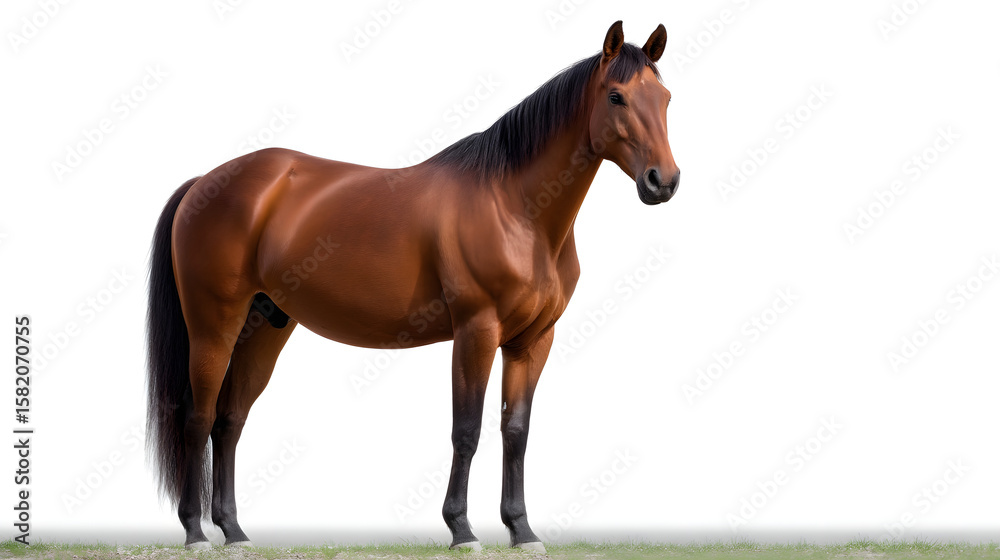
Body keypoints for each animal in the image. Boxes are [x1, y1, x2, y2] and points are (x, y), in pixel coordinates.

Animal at [146, 20, 678, 552]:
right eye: (616, 96)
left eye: (666, 97)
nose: (664, 182)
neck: (514, 206)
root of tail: (206, 182)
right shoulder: (476, 332)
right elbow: (467, 430)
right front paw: (461, 530)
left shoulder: (532, 341)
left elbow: (515, 431)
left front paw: (522, 530)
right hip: (213, 327)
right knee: (197, 418)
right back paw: (195, 532)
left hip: (264, 329)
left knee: (229, 422)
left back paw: (234, 531)